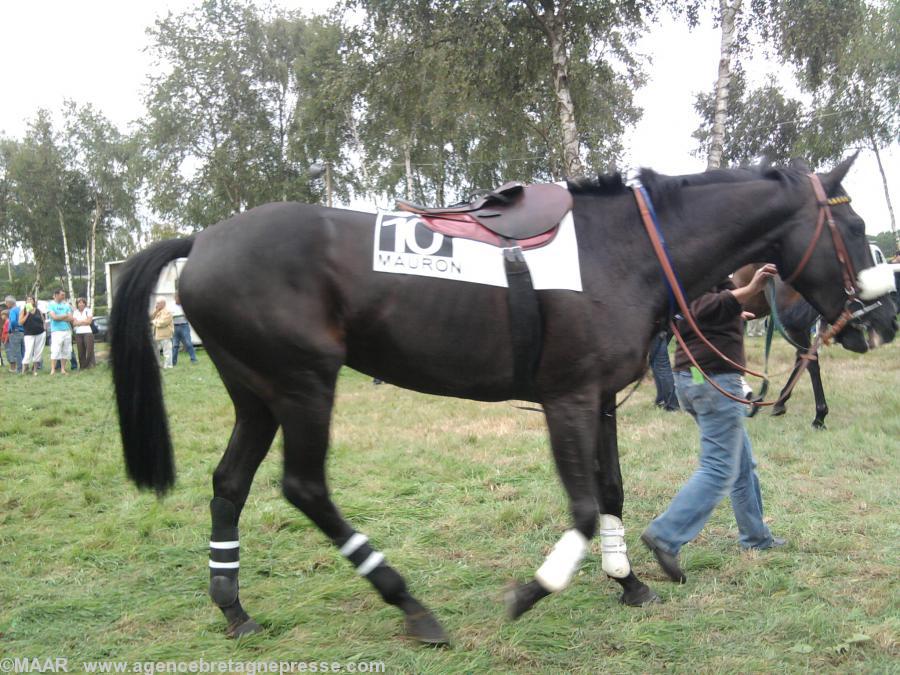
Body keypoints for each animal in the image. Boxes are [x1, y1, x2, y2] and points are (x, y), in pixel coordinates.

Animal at [110, 157, 892, 644]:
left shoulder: (599, 397)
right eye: (856, 230)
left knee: (228, 484)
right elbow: (584, 506)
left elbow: (611, 491)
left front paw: (630, 580)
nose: (881, 321)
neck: (623, 248)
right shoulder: (567, 399)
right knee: (305, 488)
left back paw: (233, 607)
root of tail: (202, 239)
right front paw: (533, 591)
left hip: (258, 396)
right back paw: (409, 602)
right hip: (304, 387)